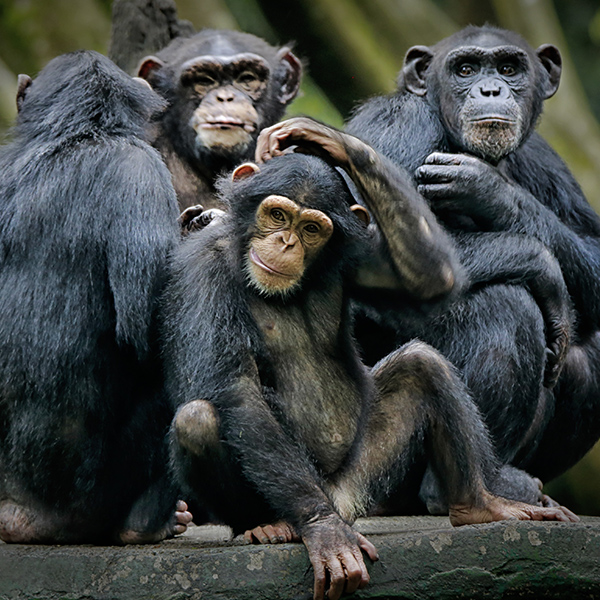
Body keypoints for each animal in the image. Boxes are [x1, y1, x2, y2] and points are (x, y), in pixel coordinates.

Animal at [0, 51, 191, 548]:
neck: (76, 133)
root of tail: (20, 518)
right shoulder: (142, 172)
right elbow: (150, 329)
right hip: (92, 500)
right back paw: (149, 525)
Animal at [164, 149, 576, 600]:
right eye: (276, 215)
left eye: (310, 229)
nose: (286, 242)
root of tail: (339, 501)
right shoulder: (204, 267)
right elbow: (236, 389)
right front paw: (323, 530)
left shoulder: (358, 256)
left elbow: (430, 278)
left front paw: (338, 145)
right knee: (198, 419)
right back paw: (270, 525)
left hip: (361, 479)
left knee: (422, 364)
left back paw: (482, 506)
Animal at [338, 25, 600, 490]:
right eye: (465, 69)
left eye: (509, 68)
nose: (491, 88)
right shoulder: (397, 124)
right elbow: (364, 241)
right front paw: (542, 265)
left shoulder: (545, 157)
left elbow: (597, 250)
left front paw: (491, 190)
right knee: (508, 307)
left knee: (590, 353)